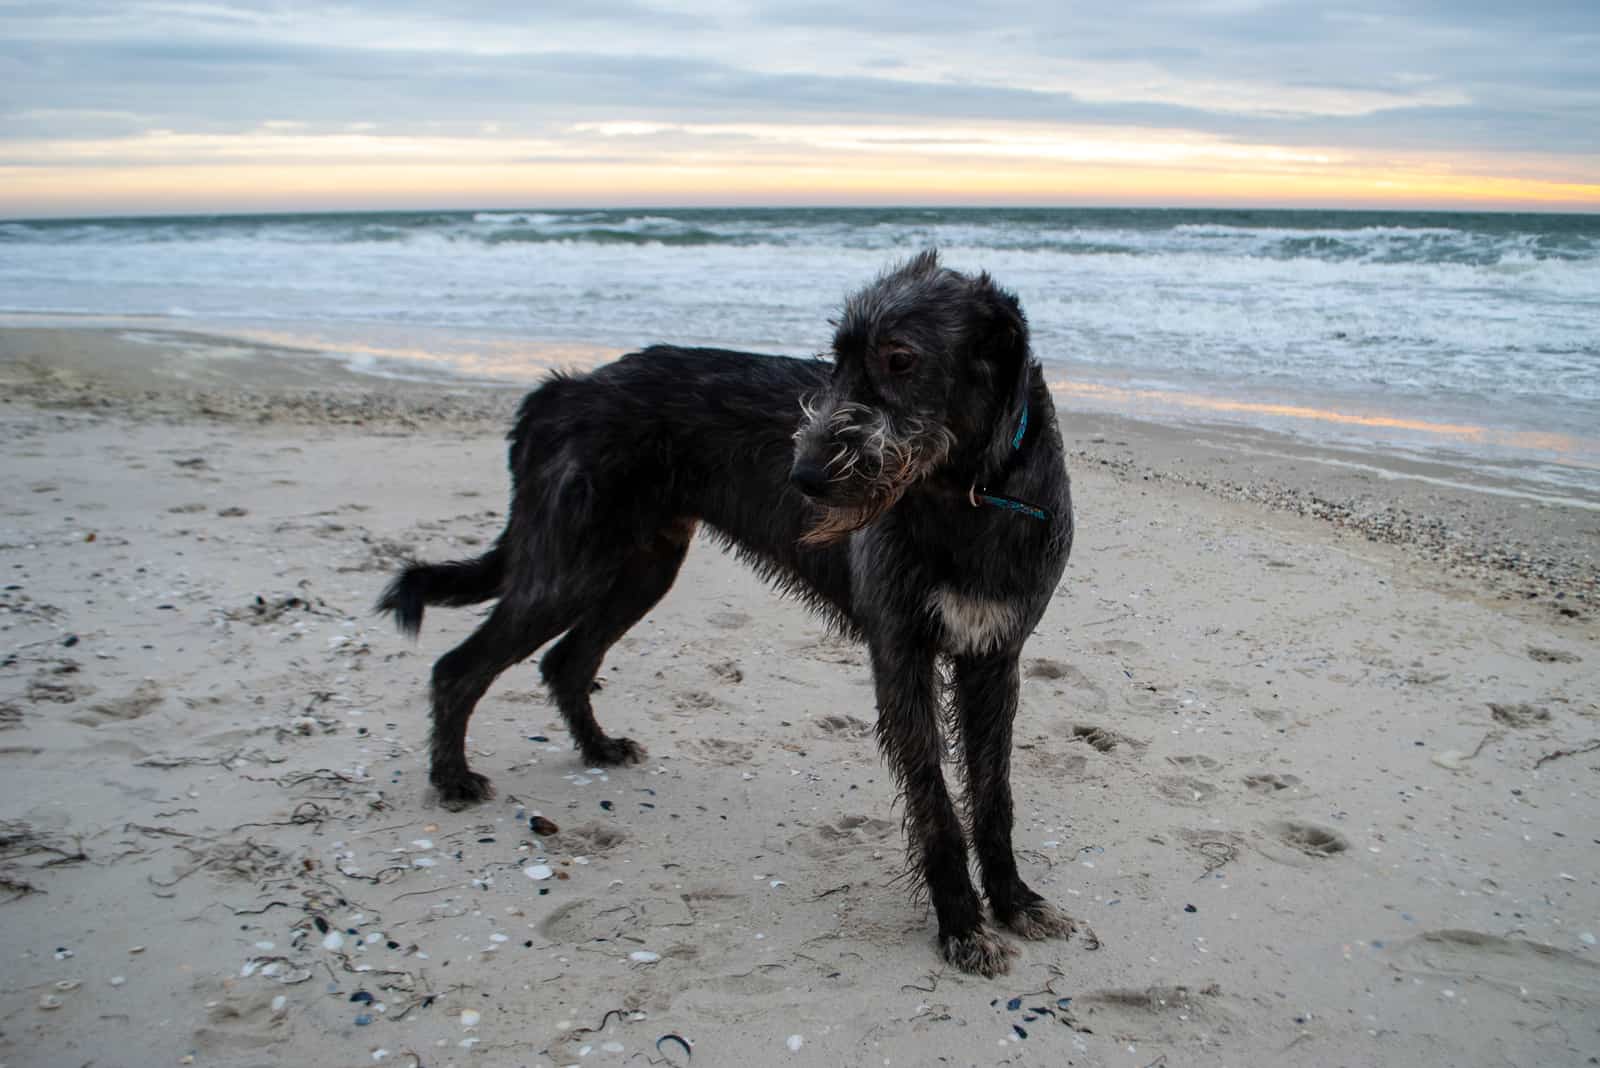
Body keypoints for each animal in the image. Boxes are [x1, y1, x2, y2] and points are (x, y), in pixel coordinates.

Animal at [379, 252, 1075, 978]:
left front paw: (1014, 899)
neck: (973, 494)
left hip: (644, 567)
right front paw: (962, 925)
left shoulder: (995, 656)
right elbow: (935, 802)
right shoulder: (899, 653)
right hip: (566, 568)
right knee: (460, 666)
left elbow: (993, 793)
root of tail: (563, 388)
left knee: (566, 659)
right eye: (837, 358)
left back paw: (598, 747)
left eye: (901, 359)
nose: (803, 477)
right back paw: (452, 778)